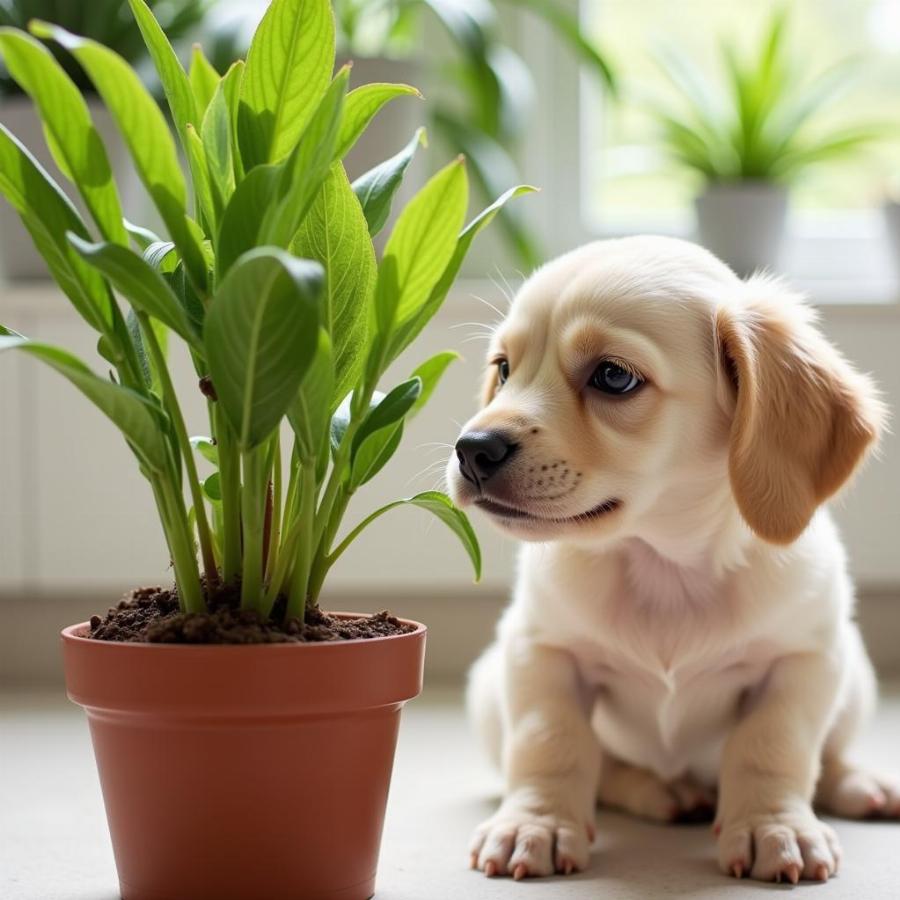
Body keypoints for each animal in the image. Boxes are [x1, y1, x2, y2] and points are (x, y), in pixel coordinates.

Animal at [446, 236, 896, 884]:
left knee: (828, 757)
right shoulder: (541, 651)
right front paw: (536, 823)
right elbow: (551, 743)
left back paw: (859, 784)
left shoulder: (802, 662)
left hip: (854, 674)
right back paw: (663, 792)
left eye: (613, 376)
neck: (666, 563)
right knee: (606, 769)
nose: (472, 450)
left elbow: (773, 746)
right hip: (487, 692)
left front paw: (773, 827)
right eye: (504, 368)